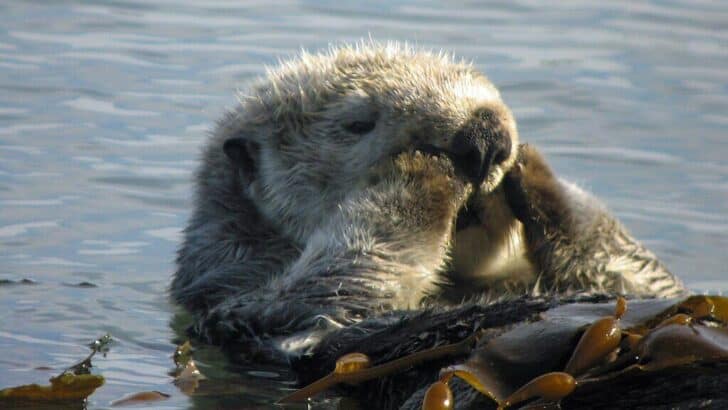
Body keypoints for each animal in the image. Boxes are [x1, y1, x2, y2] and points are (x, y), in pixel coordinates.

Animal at [171, 43, 684, 359]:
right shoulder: (241, 301)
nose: (485, 137)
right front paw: (422, 174)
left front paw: (537, 172)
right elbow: (337, 284)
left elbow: (647, 277)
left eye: (489, 90)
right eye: (357, 123)